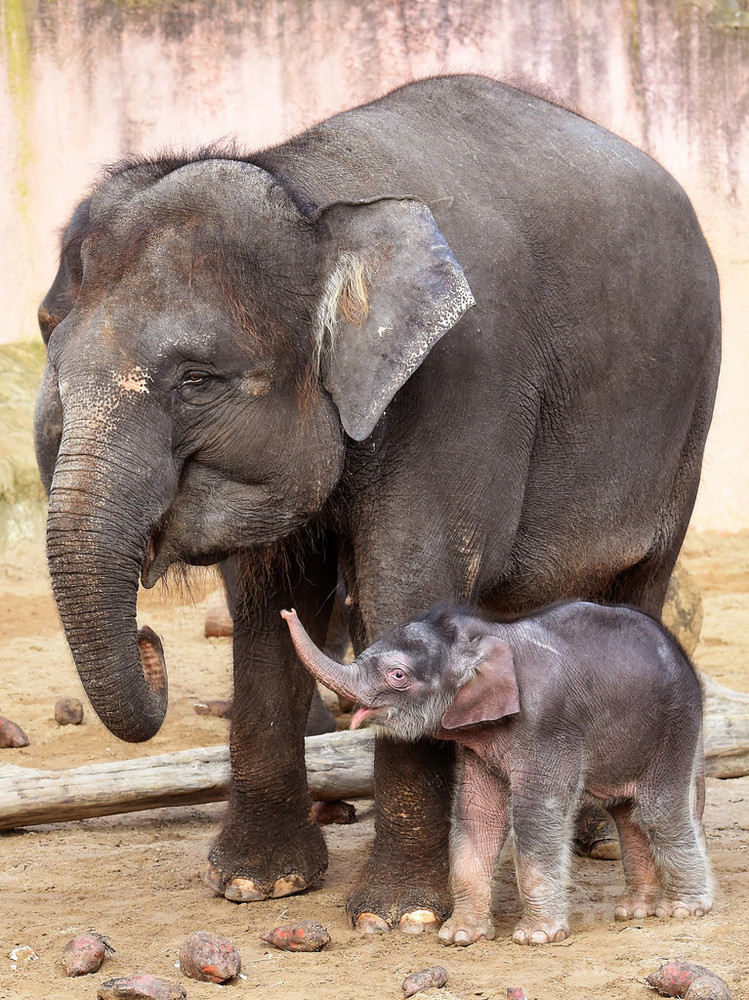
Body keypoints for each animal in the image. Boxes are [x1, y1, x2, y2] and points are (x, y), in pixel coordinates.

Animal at [282, 600, 712, 944]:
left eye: (398, 675)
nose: (287, 611)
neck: (486, 635)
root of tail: (682, 654)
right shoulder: (479, 740)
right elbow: (479, 815)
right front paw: (458, 936)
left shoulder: (548, 725)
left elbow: (536, 815)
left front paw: (537, 937)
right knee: (627, 813)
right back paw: (635, 911)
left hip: (675, 723)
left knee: (658, 810)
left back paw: (685, 910)